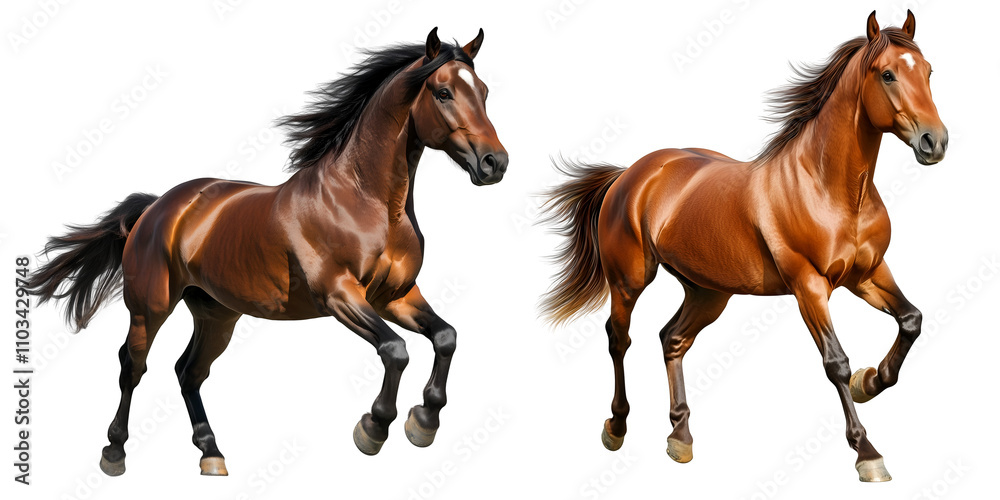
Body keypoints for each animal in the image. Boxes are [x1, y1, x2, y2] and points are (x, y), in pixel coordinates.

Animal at [30, 27, 507, 477]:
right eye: (443, 92)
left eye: (483, 92)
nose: (494, 163)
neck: (366, 202)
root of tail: (158, 207)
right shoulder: (339, 294)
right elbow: (395, 350)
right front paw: (374, 428)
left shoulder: (396, 296)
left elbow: (445, 337)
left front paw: (424, 421)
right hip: (150, 307)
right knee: (133, 366)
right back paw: (114, 453)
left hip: (217, 314)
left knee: (189, 372)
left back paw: (212, 454)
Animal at [540, 11, 946, 482]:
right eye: (887, 74)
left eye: (928, 71)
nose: (935, 142)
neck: (830, 188)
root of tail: (631, 174)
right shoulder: (809, 285)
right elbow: (836, 363)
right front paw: (868, 454)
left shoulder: (868, 274)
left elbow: (911, 320)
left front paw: (871, 381)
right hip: (629, 281)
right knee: (619, 339)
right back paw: (617, 427)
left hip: (708, 291)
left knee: (672, 339)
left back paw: (680, 437)